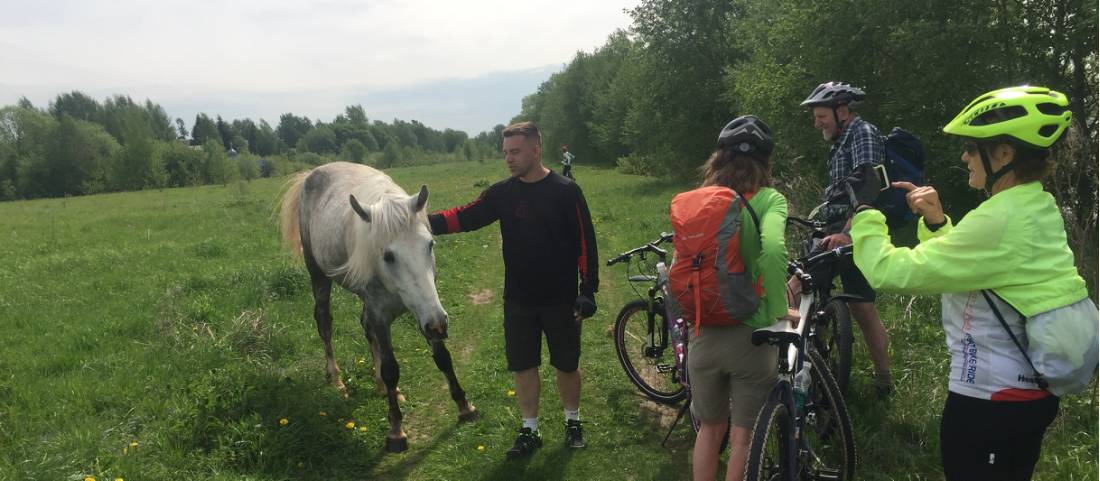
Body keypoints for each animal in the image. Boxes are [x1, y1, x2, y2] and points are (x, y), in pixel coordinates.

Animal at [279, 160, 477, 449]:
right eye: (388, 256)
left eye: (430, 244)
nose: (439, 325)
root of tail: (310, 175)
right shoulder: (386, 314)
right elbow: (391, 368)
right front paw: (396, 431)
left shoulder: (426, 309)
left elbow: (442, 356)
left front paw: (464, 406)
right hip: (318, 276)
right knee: (325, 324)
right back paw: (337, 381)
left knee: (366, 327)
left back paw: (382, 387)